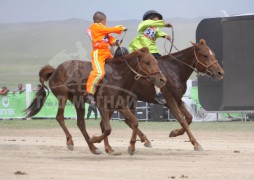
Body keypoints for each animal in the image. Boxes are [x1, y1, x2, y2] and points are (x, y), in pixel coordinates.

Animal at [26, 47, 167, 155]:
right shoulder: (102, 105)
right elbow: (108, 128)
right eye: (147, 62)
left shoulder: (120, 105)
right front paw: (95, 140)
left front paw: (131, 147)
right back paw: (71, 142)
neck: (117, 77)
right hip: (63, 96)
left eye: (155, 61)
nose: (162, 80)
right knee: (60, 117)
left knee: (81, 124)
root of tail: (55, 70)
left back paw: (93, 148)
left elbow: (135, 122)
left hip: (79, 102)